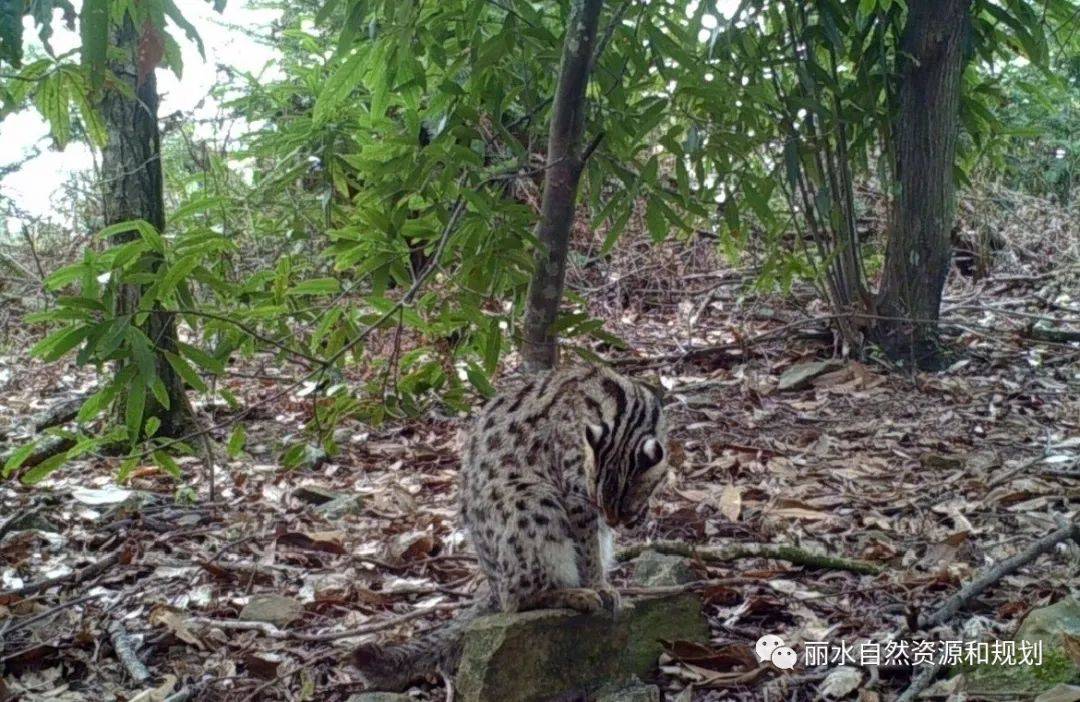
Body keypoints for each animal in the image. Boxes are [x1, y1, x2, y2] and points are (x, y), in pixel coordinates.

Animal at [354, 362, 669, 686]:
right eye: (601, 503)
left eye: (623, 506)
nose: (614, 520)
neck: (626, 414)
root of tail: (492, 583)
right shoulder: (575, 495)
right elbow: (587, 550)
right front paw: (598, 585)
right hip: (531, 498)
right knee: (514, 599)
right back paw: (572, 593)